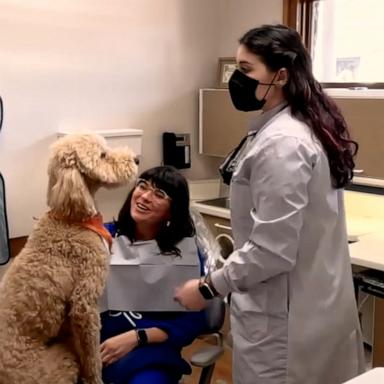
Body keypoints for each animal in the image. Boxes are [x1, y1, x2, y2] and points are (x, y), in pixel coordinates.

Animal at [0, 133, 139, 384]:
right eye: (102, 155)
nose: (137, 159)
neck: (72, 219)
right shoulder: (84, 303)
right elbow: (91, 356)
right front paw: (95, 378)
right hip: (57, 362)